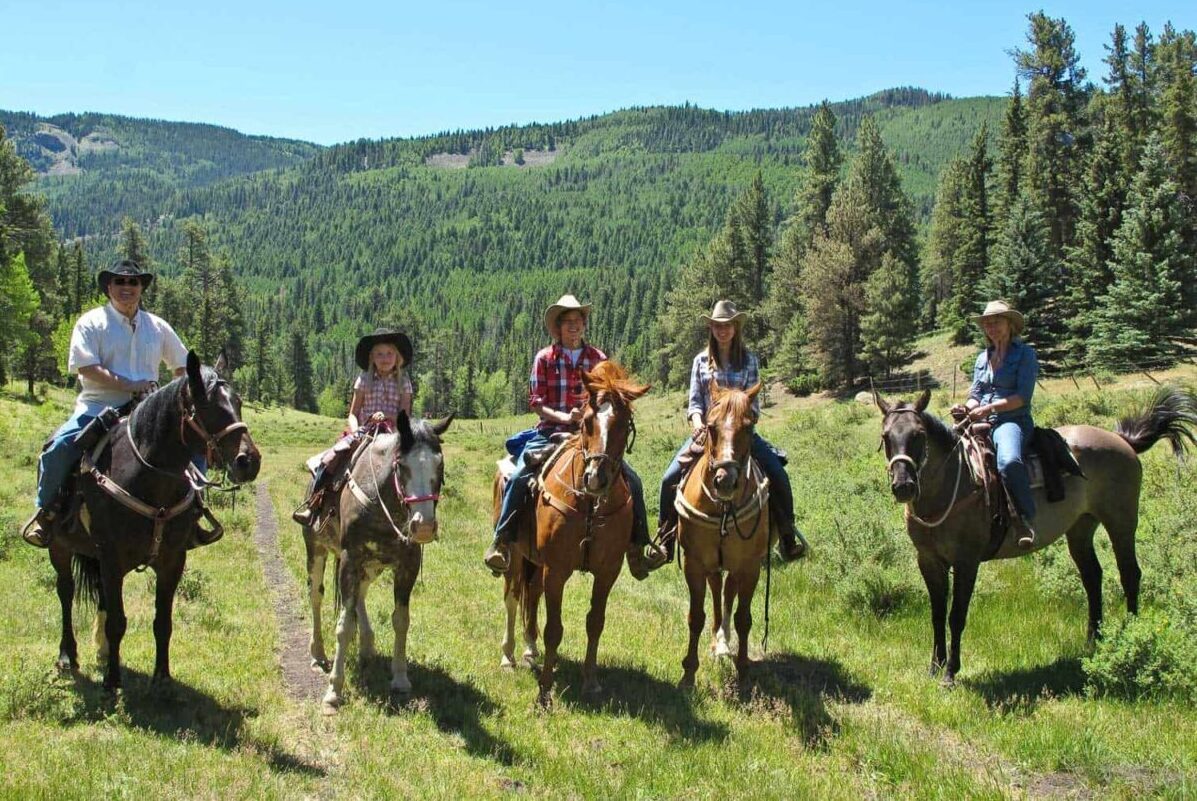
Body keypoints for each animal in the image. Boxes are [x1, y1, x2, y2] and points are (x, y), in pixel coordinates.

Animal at [49, 352, 262, 689]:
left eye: (238, 402)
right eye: (206, 407)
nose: (248, 462)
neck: (149, 479)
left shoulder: (171, 560)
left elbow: (163, 622)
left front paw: (162, 678)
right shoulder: (112, 558)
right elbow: (118, 622)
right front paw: (112, 683)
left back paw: (103, 652)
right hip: (59, 546)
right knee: (66, 593)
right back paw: (67, 656)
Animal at [301, 409, 450, 708]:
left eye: (439, 466)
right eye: (401, 465)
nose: (424, 526)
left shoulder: (407, 565)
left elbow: (401, 620)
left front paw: (400, 679)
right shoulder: (349, 559)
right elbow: (344, 625)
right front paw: (334, 690)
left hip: (371, 567)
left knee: (359, 596)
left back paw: (367, 646)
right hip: (317, 550)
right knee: (316, 596)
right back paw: (318, 653)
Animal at [493, 361, 651, 704]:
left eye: (624, 424)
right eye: (588, 421)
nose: (596, 478)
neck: (589, 505)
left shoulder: (607, 571)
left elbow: (595, 623)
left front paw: (591, 682)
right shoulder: (557, 569)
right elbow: (554, 629)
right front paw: (544, 692)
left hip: (535, 561)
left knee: (532, 594)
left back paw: (530, 650)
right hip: (514, 555)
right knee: (512, 597)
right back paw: (509, 656)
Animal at [679, 380, 770, 689]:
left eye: (749, 428)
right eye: (710, 426)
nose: (725, 481)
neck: (723, 508)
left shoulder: (751, 566)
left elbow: (743, 618)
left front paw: (743, 669)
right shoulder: (694, 562)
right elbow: (696, 616)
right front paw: (688, 673)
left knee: (728, 592)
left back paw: (723, 641)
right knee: (718, 591)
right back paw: (717, 640)